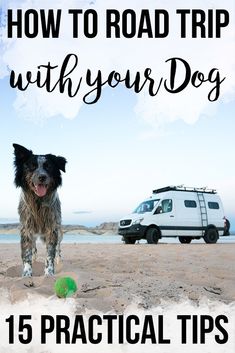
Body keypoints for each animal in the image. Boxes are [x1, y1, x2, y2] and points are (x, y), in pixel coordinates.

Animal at [12, 142, 66, 276]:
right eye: (32, 167)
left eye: (48, 167)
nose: (42, 177)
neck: (38, 203)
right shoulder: (26, 228)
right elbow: (27, 252)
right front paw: (27, 274)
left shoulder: (52, 229)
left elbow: (50, 254)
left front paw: (49, 274)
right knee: (34, 248)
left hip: (59, 233)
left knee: (58, 248)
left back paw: (58, 260)